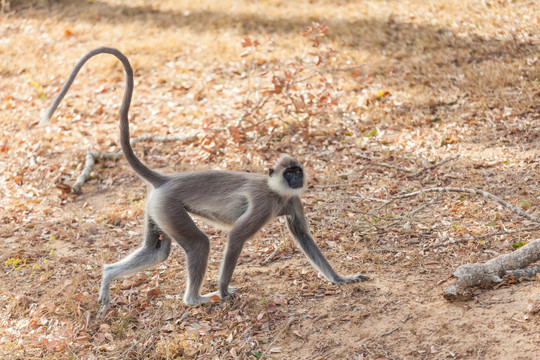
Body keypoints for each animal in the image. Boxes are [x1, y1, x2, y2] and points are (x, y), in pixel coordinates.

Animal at [42, 46, 370, 316]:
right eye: (288, 173)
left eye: (297, 172)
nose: (295, 177)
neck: (277, 192)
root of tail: (166, 180)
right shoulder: (265, 203)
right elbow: (236, 236)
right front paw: (224, 291)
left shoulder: (293, 199)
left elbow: (303, 237)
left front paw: (341, 278)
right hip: (169, 207)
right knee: (199, 243)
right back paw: (196, 299)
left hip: (156, 210)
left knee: (157, 251)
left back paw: (109, 277)